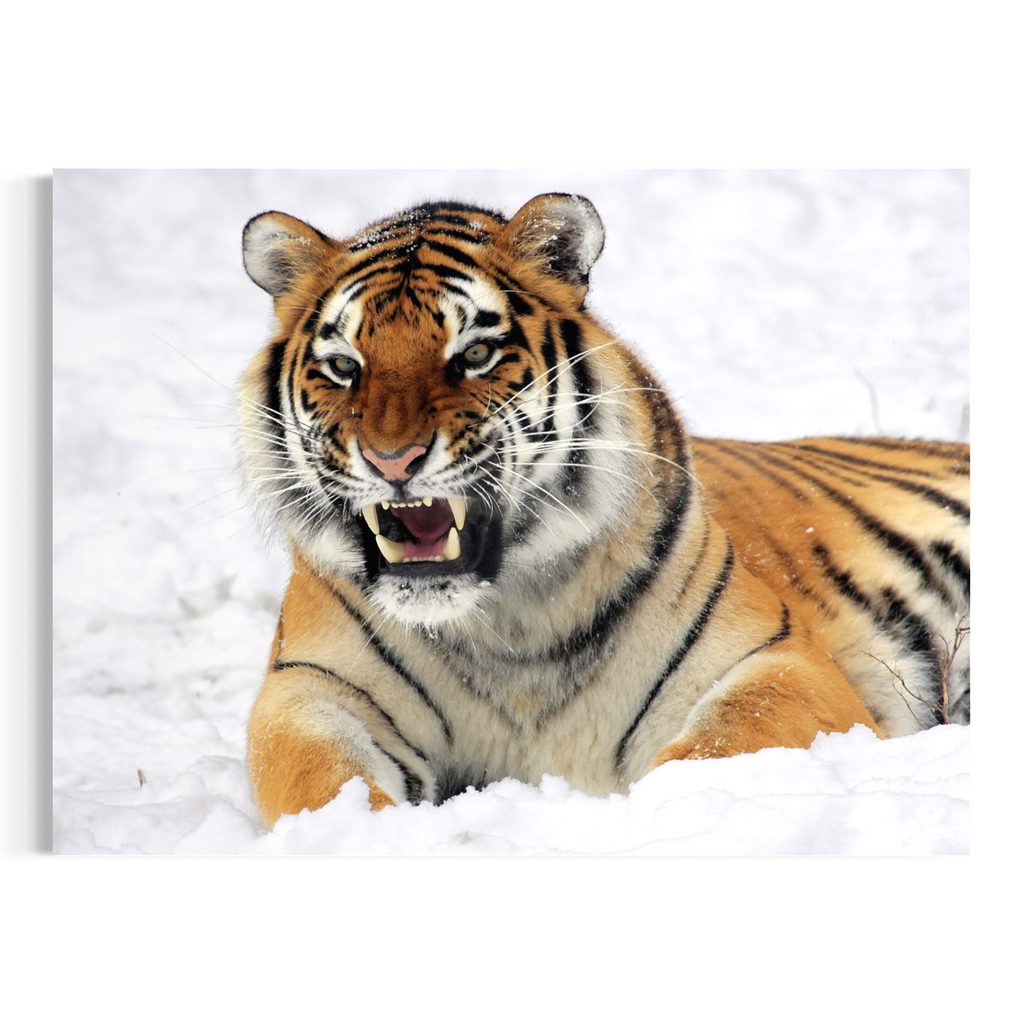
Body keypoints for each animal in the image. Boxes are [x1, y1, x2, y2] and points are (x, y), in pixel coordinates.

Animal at [237, 193, 970, 828]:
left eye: (475, 354)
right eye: (344, 366)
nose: (393, 461)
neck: (505, 626)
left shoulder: (776, 660)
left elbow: (715, 749)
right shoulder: (310, 688)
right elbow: (319, 781)